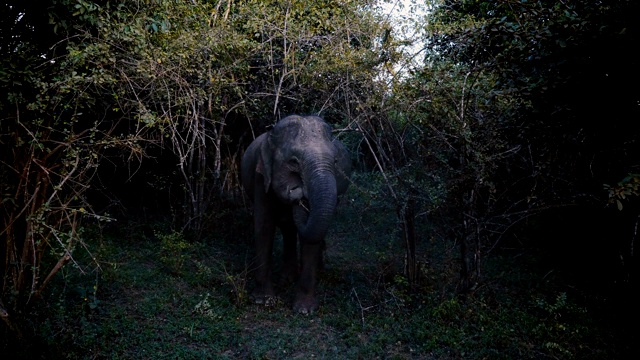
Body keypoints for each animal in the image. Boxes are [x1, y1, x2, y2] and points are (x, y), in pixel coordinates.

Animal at [240, 115, 350, 316]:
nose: (298, 191)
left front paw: (304, 310)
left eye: (335, 162)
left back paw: (317, 272)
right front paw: (263, 301)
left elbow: (310, 238)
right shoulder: (261, 177)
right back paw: (287, 278)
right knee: (288, 228)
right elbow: (264, 227)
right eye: (293, 162)